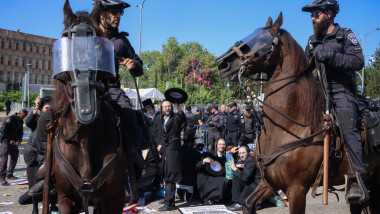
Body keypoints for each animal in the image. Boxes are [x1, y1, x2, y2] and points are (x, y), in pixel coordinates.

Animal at [45, 0, 137, 213]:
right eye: (67, 45)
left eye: (99, 47)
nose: (86, 107)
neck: (85, 141)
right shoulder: (65, 199)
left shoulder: (115, 199)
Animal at [217, 12, 380, 214]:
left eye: (262, 40)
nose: (223, 65)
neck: (289, 126)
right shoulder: (269, 182)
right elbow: (248, 203)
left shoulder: (297, 189)